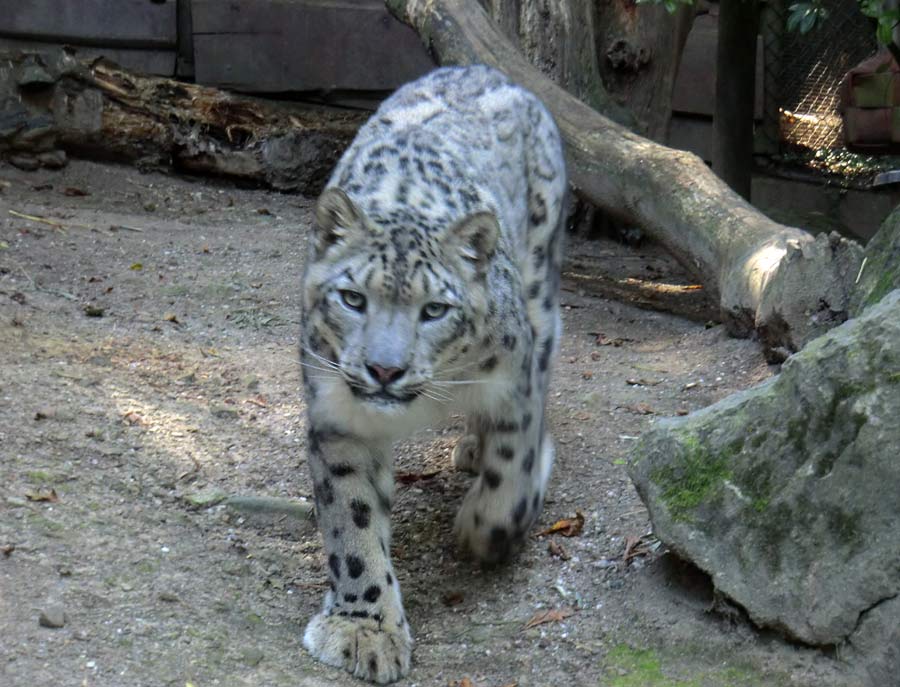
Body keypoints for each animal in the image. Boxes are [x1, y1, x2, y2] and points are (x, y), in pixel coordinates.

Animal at [298, 64, 568, 684]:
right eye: (352, 298)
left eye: (435, 309)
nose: (384, 369)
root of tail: (482, 69)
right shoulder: (337, 413)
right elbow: (352, 519)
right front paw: (366, 628)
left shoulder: (513, 379)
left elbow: (513, 470)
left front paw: (482, 529)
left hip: (540, 289)